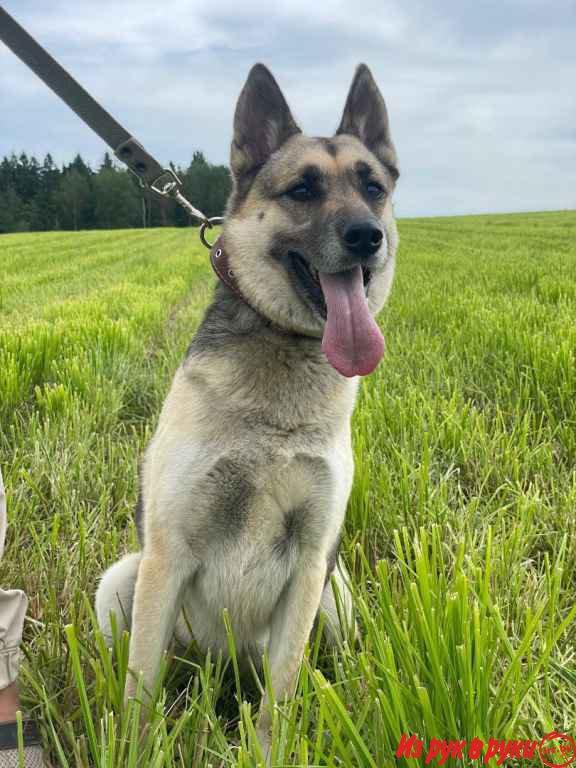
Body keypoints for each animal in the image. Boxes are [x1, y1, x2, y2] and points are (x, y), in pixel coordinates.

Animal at [95, 61, 400, 756]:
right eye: (302, 189)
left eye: (373, 188)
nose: (366, 237)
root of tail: (222, 664)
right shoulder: (168, 554)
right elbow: (139, 688)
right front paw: (136, 748)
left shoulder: (311, 563)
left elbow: (281, 694)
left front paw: (270, 751)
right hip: (123, 579)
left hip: (336, 595)